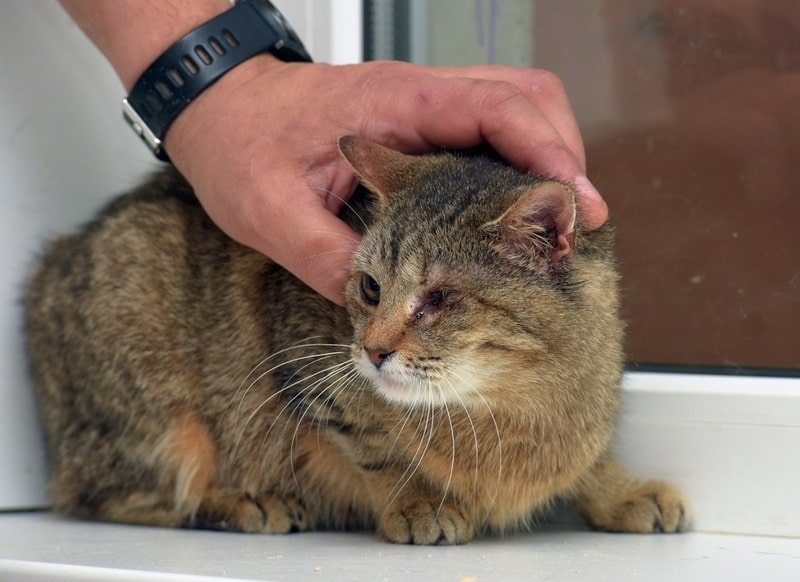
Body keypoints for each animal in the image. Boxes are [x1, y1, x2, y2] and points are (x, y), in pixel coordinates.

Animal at [23, 138, 688, 548]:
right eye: (370, 287)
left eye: (440, 298)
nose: (372, 349)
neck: (505, 413)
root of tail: (48, 272)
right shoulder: (302, 356)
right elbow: (376, 445)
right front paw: (418, 501)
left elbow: (592, 458)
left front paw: (622, 489)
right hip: (155, 398)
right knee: (111, 495)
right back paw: (243, 502)